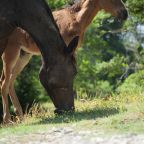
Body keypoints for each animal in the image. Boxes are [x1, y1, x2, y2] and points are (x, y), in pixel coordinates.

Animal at [0, 0, 128, 122]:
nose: (125, 13)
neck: (76, 19)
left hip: (23, 56)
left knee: (10, 81)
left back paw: (20, 117)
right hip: (10, 53)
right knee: (4, 82)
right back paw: (8, 120)